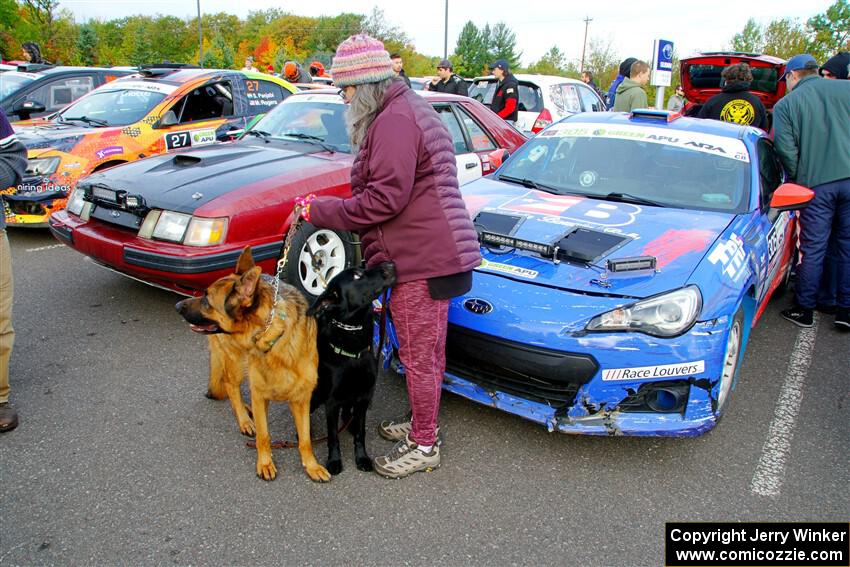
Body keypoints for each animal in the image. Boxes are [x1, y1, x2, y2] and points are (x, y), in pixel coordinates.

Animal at [174, 248, 330, 484]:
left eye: (207, 300)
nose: (176, 306)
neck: (272, 335)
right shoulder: (259, 395)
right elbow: (264, 436)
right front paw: (265, 463)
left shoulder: (301, 399)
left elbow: (305, 440)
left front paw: (311, 466)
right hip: (237, 364)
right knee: (231, 386)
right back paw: (245, 419)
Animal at [306, 262, 396, 474]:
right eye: (356, 275)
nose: (390, 264)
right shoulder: (331, 402)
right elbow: (333, 436)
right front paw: (334, 461)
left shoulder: (364, 396)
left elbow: (361, 434)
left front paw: (362, 457)